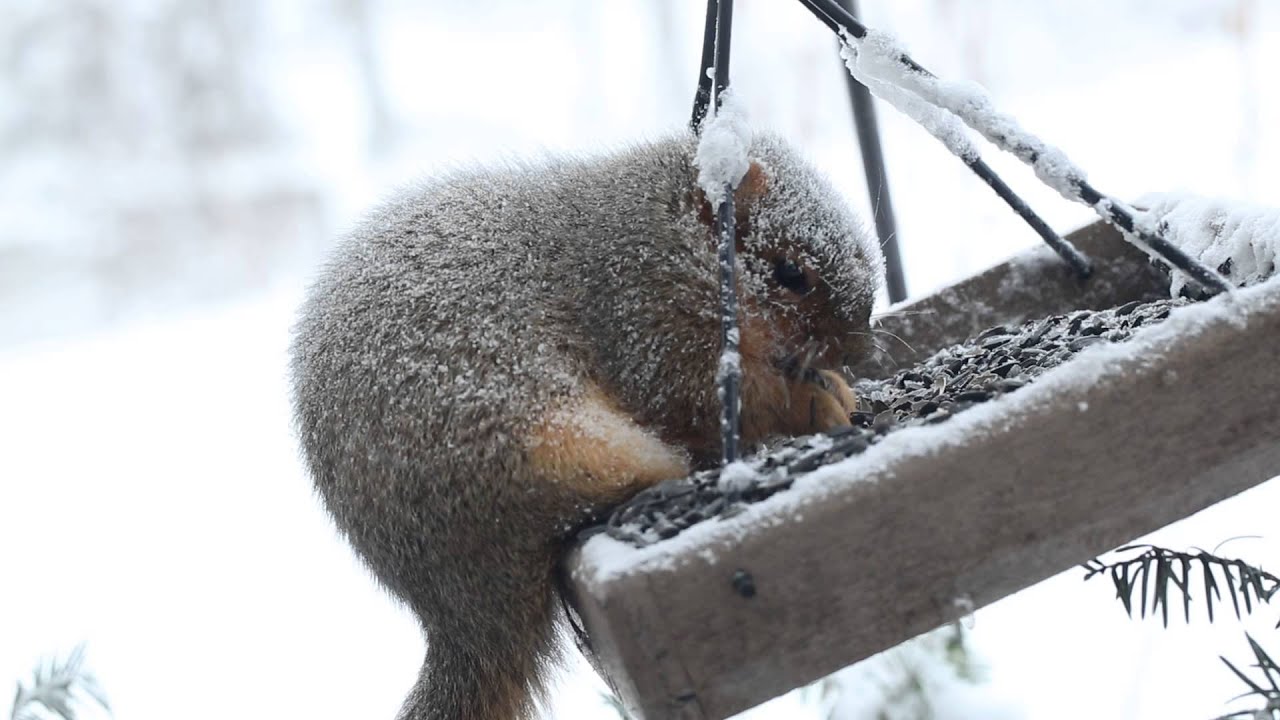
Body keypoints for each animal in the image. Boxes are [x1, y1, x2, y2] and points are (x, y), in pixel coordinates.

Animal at [289, 131, 883, 720]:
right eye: (791, 273)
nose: (859, 349)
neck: (670, 241)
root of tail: (460, 611)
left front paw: (837, 388)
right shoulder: (643, 322)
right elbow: (709, 403)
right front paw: (813, 403)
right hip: (542, 448)